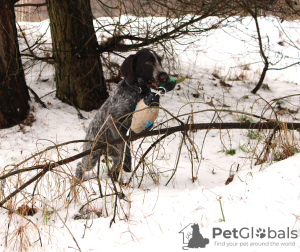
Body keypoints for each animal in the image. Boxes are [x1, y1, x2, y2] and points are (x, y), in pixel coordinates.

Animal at [76, 47, 170, 181]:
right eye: (148, 62)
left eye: (160, 62)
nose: (165, 77)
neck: (138, 92)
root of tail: (88, 130)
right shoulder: (114, 120)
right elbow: (123, 142)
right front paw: (128, 163)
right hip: (92, 154)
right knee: (80, 165)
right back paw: (78, 180)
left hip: (112, 156)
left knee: (115, 165)